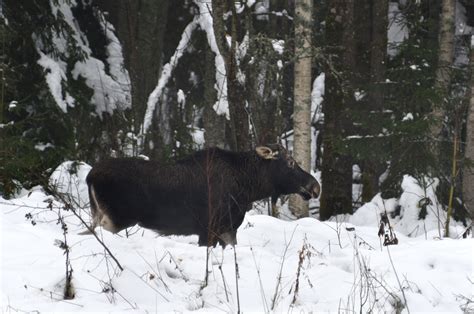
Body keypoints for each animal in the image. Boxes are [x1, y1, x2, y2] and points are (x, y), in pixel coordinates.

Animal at [83, 144, 320, 245]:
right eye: (290, 162)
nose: (315, 186)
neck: (249, 187)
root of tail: (90, 176)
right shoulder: (212, 229)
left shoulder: (226, 230)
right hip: (113, 219)